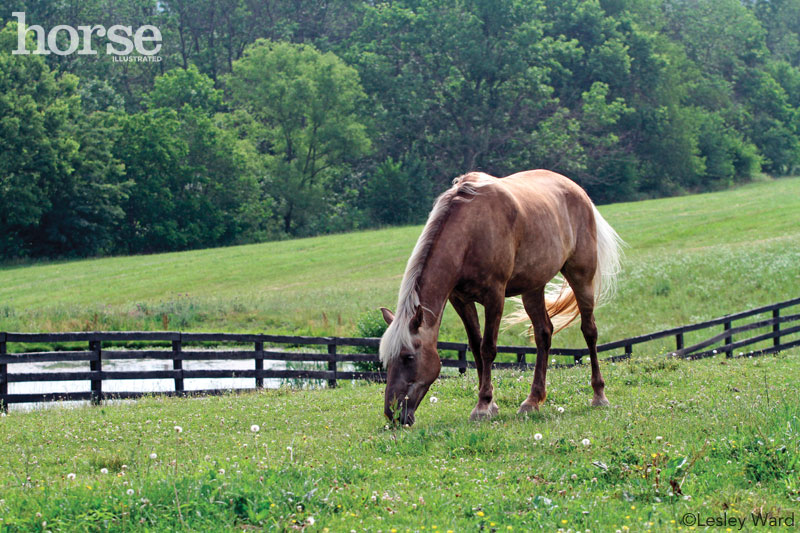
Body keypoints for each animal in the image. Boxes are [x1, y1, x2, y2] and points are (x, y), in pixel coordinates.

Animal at [378, 168, 620, 426]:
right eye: (387, 360)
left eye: (408, 357)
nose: (392, 413)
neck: (470, 231)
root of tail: (578, 191)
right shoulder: (460, 300)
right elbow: (476, 348)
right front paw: (490, 403)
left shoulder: (494, 296)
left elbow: (488, 348)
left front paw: (483, 406)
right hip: (533, 287)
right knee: (543, 334)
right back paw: (532, 401)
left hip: (581, 276)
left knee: (589, 330)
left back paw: (599, 395)